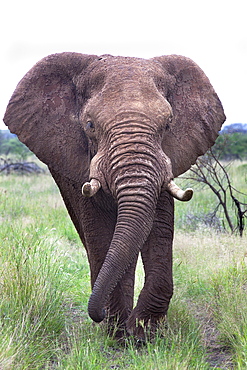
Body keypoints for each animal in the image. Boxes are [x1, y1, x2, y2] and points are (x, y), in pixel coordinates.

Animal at [2, 53, 226, 340]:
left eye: (168, 124)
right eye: (89, 125)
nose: (97, 314)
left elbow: (159, 225)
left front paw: (143, 332)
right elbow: (98, 229)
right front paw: (118, 332)